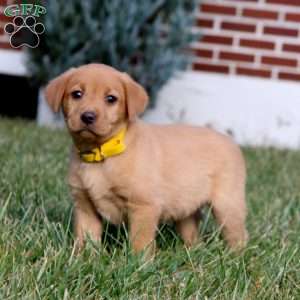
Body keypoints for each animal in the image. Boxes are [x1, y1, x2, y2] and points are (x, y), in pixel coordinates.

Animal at [45, 62, 247, 253]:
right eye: (76, 94)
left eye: (111, 99)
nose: (87, 116)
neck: (101, 153)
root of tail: (230, 141)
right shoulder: (84, 205)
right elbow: (85, 239)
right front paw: (83, 258)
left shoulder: (144, 205)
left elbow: (140, 242)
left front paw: (138, 263)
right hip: (186, 207)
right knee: (192, 232)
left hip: (227, 205)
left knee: (238, 236)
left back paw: (235, 257)